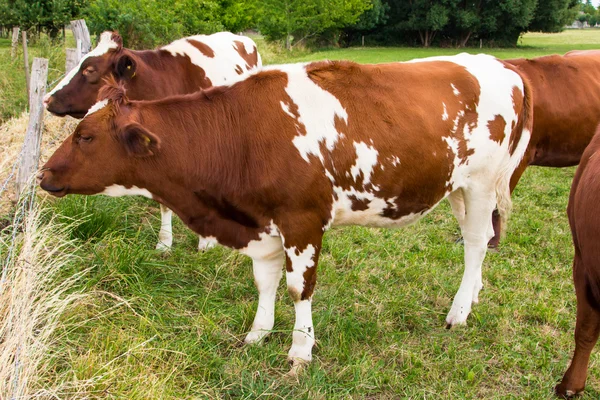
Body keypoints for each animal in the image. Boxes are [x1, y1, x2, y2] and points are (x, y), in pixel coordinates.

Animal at [39, 54, 532, 368]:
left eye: (85, 137)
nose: (43, 173)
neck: (239, 134)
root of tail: (502, 66)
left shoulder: (303, 220)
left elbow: (299, 288)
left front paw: (299, 351)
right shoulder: (261, 224)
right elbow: (265, 281)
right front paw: (258, 333)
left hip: (483, 184)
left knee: (476, 243)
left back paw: (459, 312)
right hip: (457, 188)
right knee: (477, 243)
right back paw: (473, 294)